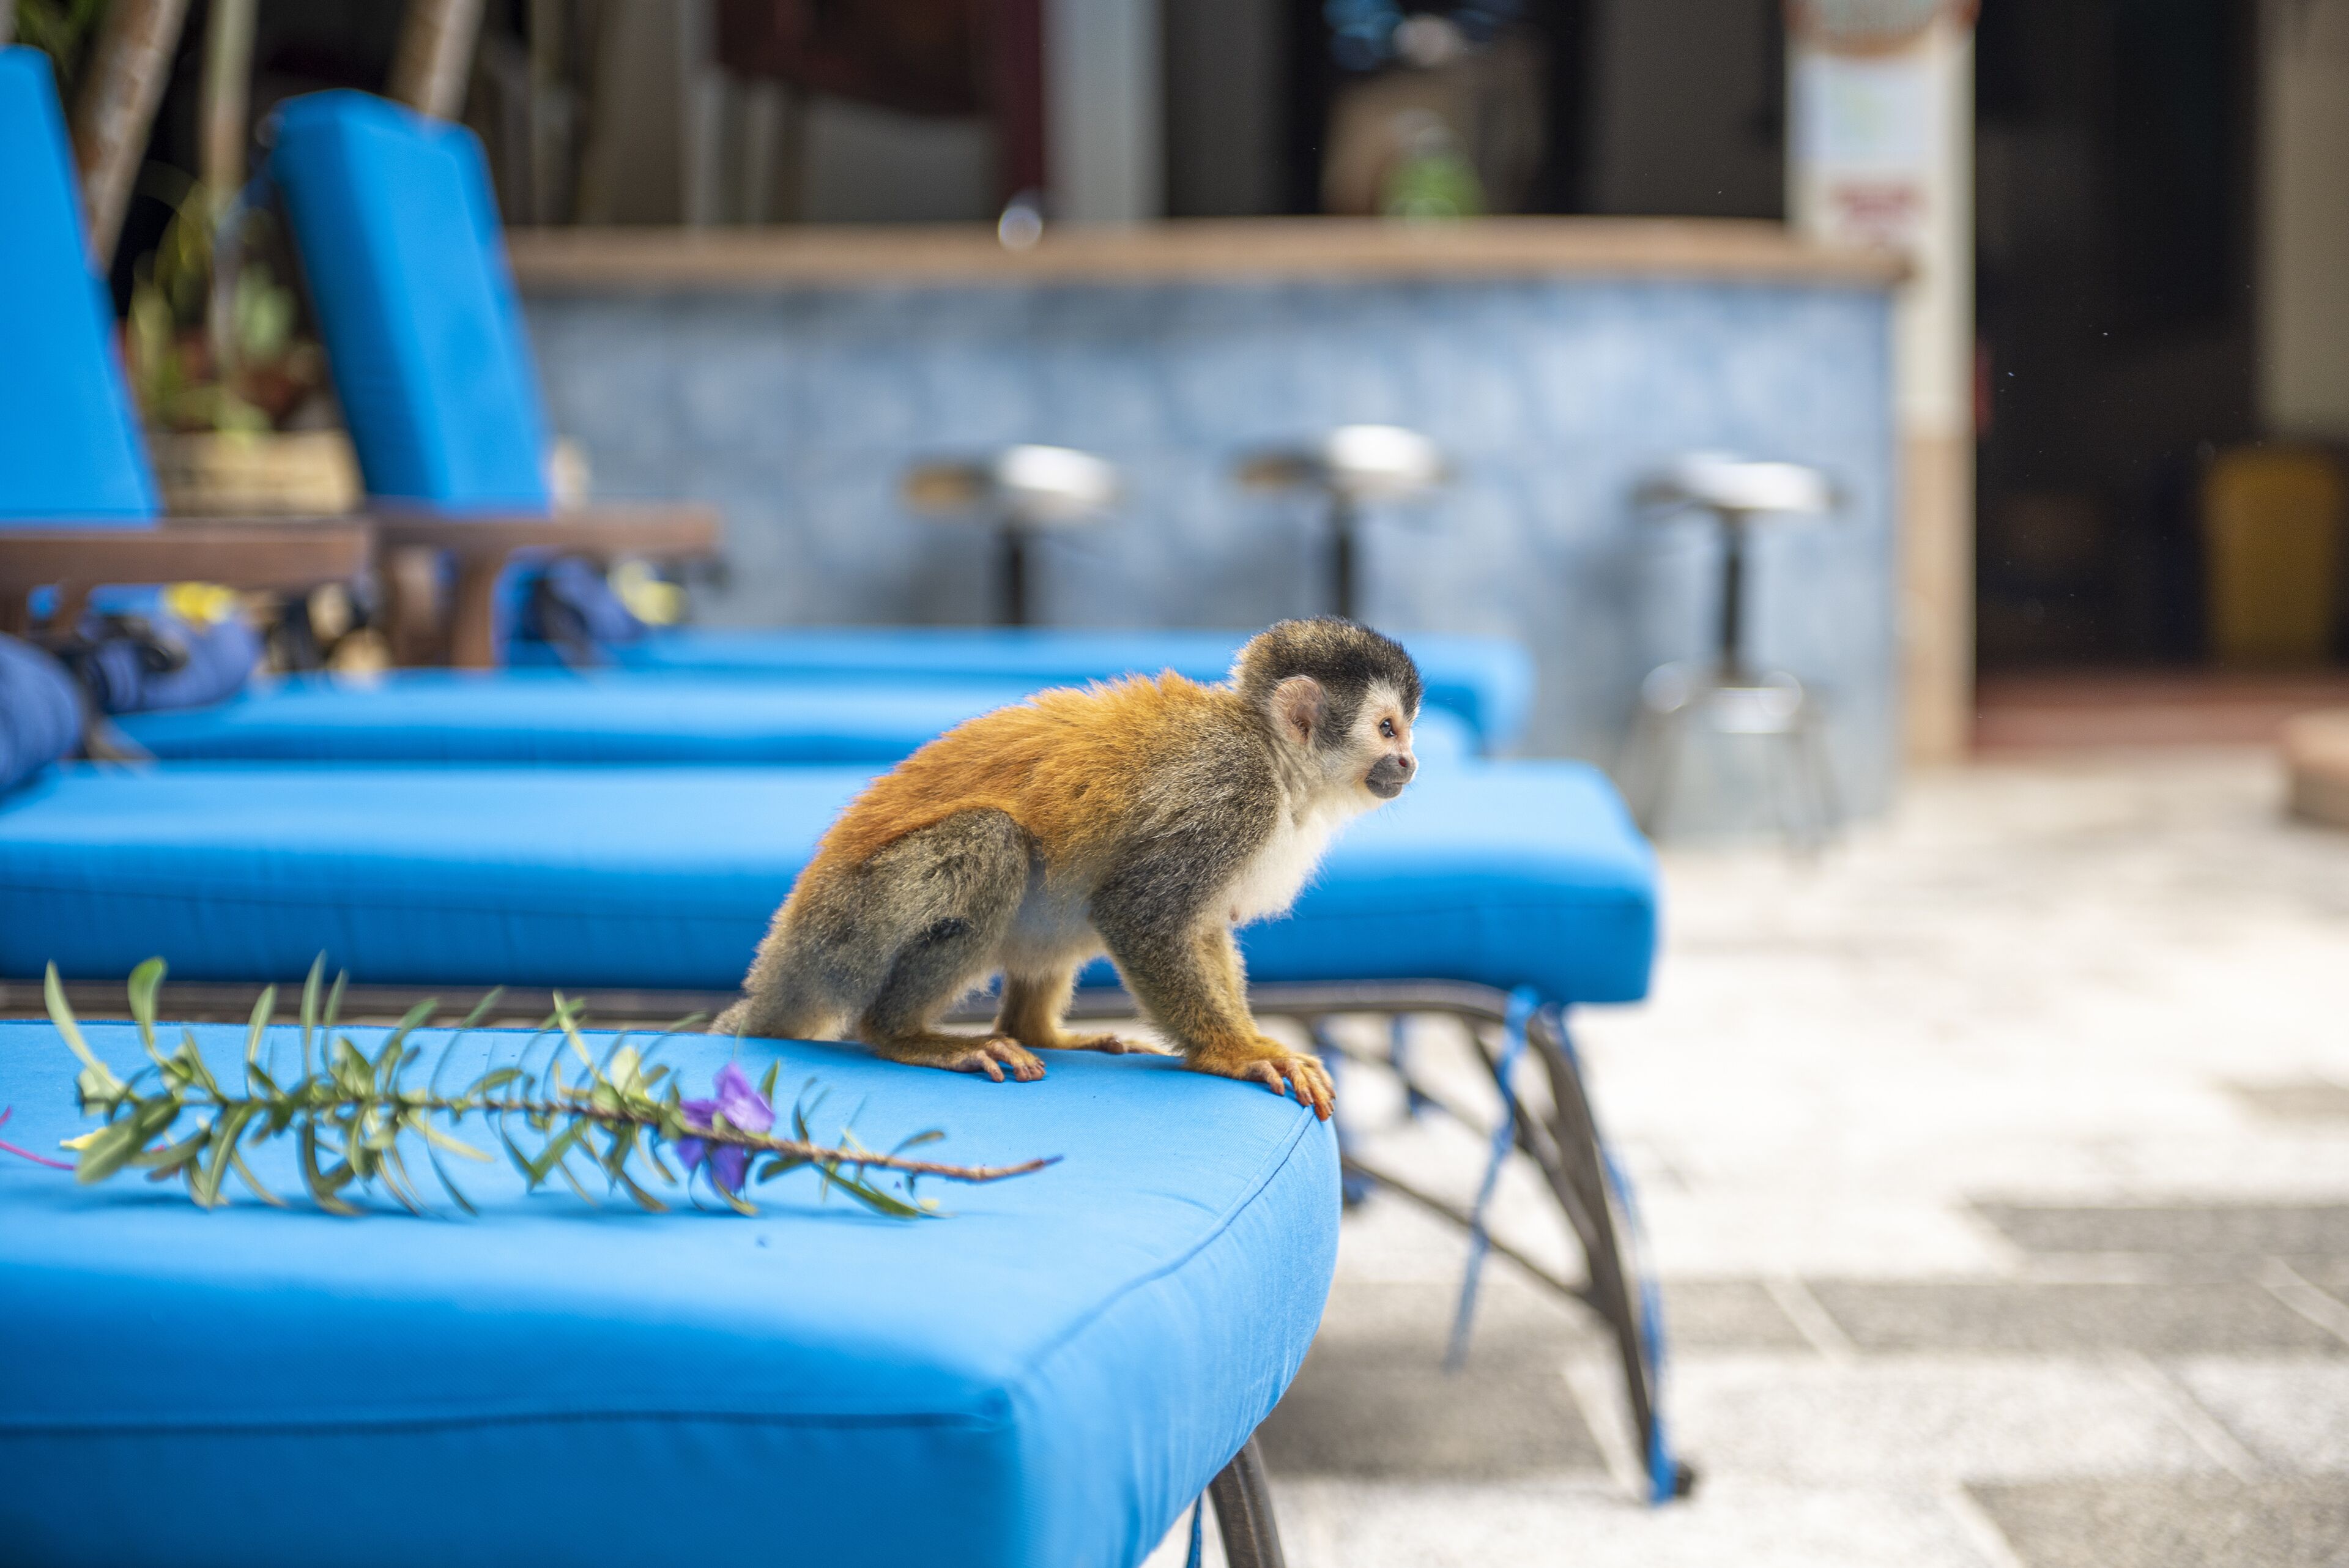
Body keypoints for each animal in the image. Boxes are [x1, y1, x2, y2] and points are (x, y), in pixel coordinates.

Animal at [711, 617, 1423, 1119]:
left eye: (1406, 730)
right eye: (1388, 729)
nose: (1411, 763)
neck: (1274, 756)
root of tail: (784, 955)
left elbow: (1198, 927)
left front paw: (1252, 1040)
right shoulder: (1229, 793)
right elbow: (1140, 914)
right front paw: (1238, 1053)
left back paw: (1037, 1030)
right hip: (847, 929)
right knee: (996, 843)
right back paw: (906, 1035)